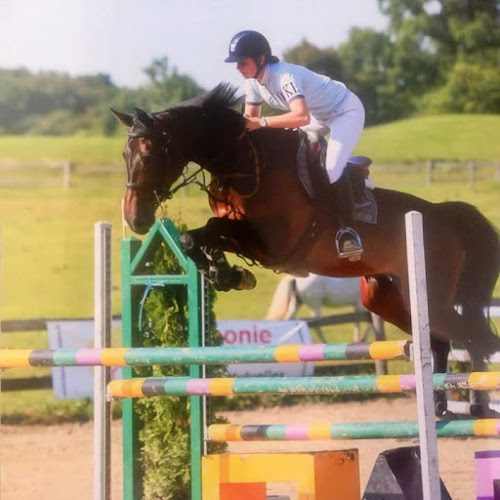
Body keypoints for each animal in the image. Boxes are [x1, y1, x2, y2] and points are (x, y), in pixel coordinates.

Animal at [112, 83, 500, 418]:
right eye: (125, 154)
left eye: (150, 155)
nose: (135, 220)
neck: (244, 163)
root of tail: (442, 215)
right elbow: (195, 238)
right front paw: (227, 274)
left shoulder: (274, 244)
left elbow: (210, 230)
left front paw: (229, 273)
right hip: (388, 297)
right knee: (440, 340)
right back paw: (439, 405)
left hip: (431, 294)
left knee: (474, 337)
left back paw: (476, 405)